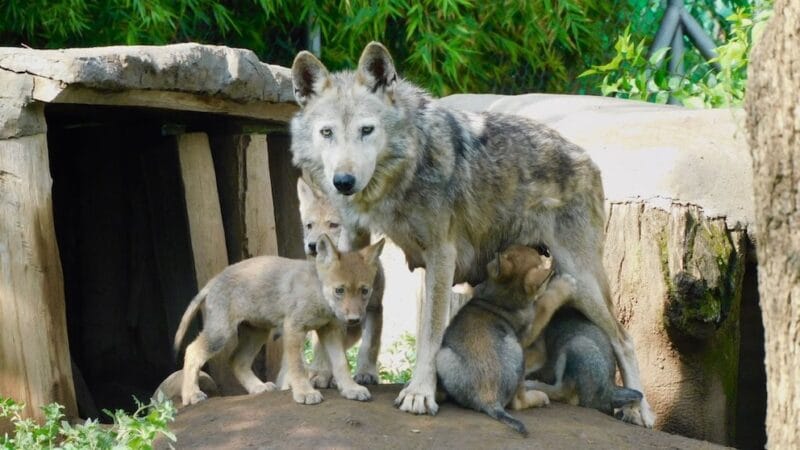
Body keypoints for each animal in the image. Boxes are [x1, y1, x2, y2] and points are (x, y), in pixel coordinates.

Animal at [174, 234, 385, 406]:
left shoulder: (330, 330)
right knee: (192, 351)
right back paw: (191, 395)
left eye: (364, 291)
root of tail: (213, 280)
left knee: (236, 360)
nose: (354, 320)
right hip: (221, 334)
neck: (318, 294)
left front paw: (350, 388)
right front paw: (305, 392)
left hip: (256, 333)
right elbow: (297, 367)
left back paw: (257, 388)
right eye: (339, 290)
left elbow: (341, 363)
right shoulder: (294, 328)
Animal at [296, 178, 385, 387]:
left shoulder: (373, 309)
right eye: (309, 225)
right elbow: (324, 351)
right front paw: (321, 375)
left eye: (333, 225)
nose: (312, 245)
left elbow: (369, 346)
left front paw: (365, 373)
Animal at [436, 245, 573, 436]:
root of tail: (489, 399)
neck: (500, 299)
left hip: (443, 356)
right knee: (518, 402)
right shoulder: (529, 330)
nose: (542, 249)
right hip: (518, 352)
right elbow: (545, 303)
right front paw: (564, 285)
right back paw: (539, 397)